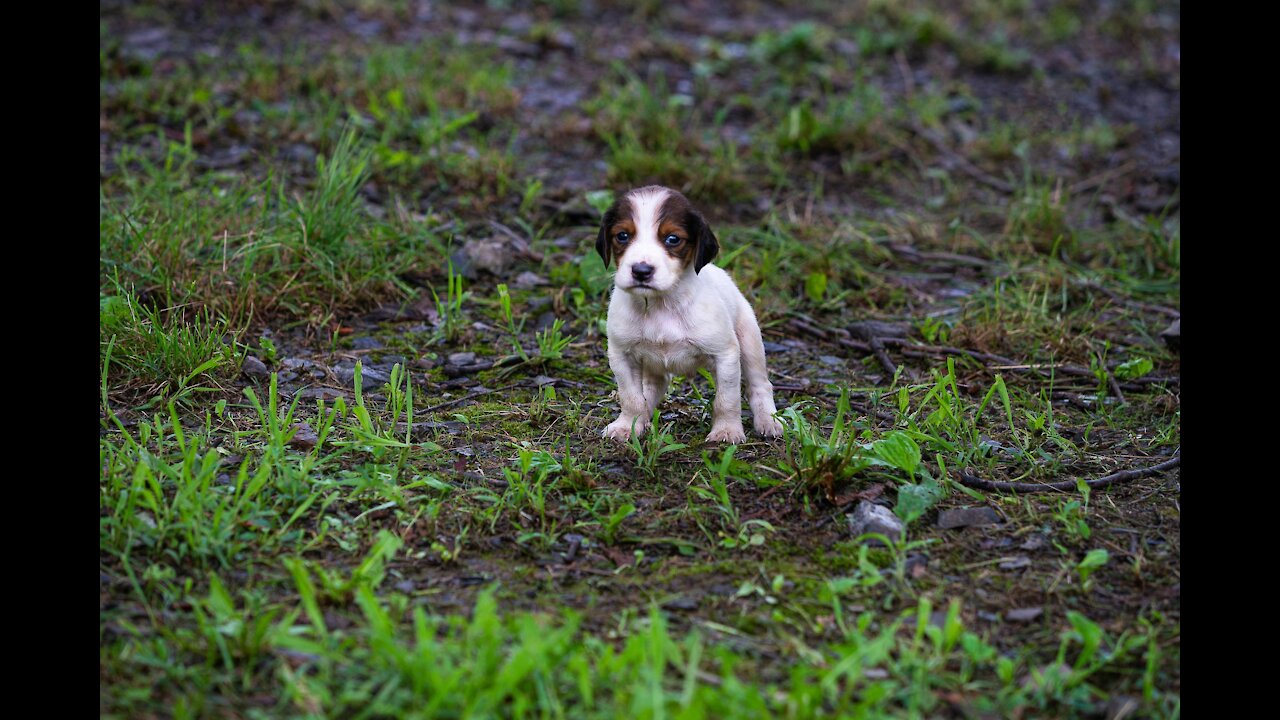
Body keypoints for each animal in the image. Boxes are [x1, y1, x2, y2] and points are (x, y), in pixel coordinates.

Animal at [593, 183, 783, 443]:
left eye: (673, 239)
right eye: (622, 235)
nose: (641, 271)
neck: (661, 305)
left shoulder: (725, 355)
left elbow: (727, 399)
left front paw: (726, 431)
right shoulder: (621, 355)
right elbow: (631, 397)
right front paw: (628, 425)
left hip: (750, 342)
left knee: (760, 385)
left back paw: (769, 421)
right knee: (655, 386)